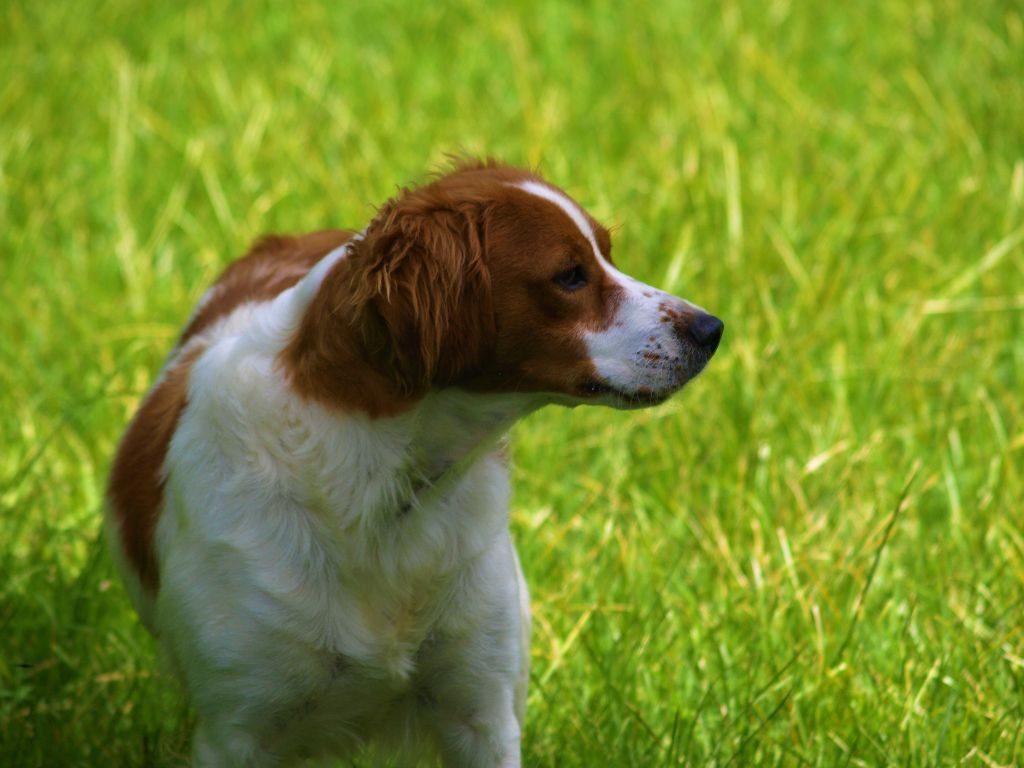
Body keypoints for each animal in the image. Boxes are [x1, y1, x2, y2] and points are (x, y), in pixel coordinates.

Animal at [108, 159, 724, 765]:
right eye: (570, 274)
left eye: (607, 255)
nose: (712, 328)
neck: (374, 490)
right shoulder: (238, 728)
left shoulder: (482, 714)